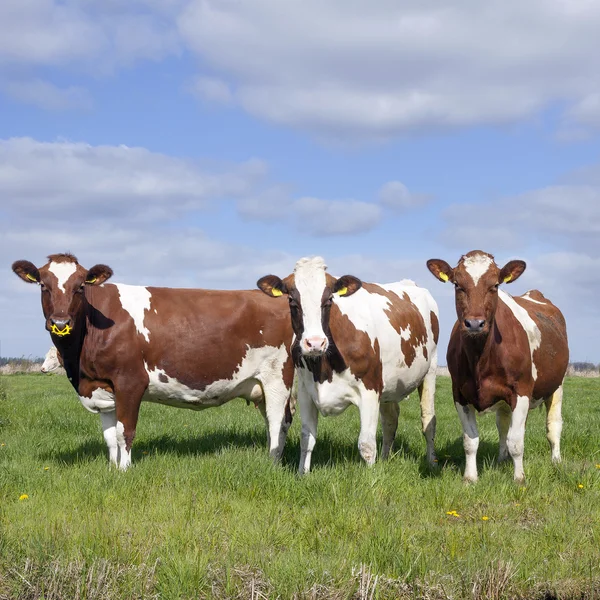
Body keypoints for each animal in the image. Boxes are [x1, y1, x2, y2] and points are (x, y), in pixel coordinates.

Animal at [12, 253, 296, 468]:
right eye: (43, 285)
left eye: (80, 286)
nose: (60, 323)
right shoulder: (100, 386)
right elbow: (109, 437)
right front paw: (111, 469)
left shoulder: (129, 382)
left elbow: (124, 432)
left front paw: (124, 471)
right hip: (260, 385)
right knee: (279, 422)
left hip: (278, 379)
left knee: (276, 422)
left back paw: (272, 464)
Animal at [255, 256, 438, 474]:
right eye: (292, 300)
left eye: (329, 300)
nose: (315, 343)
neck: (324, 367)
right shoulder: (306, 392)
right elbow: (306, 439)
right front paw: (302, 474)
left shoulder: (370, 391)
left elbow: (366, 444)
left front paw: (371, 478)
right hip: (390, 384)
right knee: (390, 420)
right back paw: (385, 459)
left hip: (430, 371)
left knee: (428, 421)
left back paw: (431, 462)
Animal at [426, 248, 568, 482]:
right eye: (457, 284)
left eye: (494, 285)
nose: (475, 323)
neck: (480, 358)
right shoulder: (459, 394)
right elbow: (471, 441)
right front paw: (470, 478)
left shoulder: (521, 390)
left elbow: (517, 441)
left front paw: (519, 479)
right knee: (502, 425)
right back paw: (502, 459)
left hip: (557, 384)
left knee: (553, 425)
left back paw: (556, 461)